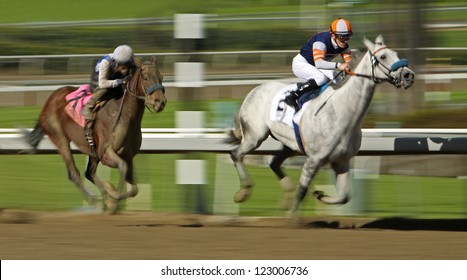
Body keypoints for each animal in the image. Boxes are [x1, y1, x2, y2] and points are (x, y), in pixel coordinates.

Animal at [23, 57, 167, 214]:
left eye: (161, 77)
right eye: (146, 77)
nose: (160, 102)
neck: (124, 117)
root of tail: (51, 98)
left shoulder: (128, 156)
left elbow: (134, 188)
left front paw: (110, 194)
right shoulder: (106, 154)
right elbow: (122, 168)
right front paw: (112, 200)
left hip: (92, 151)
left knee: (89, 173)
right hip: (60, 138)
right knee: (74, 173)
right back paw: (96, 201)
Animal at [225, 35, 414, 214]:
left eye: (396, 53)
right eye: (383, 56)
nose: (409, 75)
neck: (341, 112)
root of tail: (254, 90)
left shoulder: (341, 160)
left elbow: (345, 196)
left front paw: (319, 194)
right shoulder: (314, 160)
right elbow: (302, 191)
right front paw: (293, 216)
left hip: (291, 145)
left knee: (273, 162)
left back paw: (285, 197)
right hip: (255, 136)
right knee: (236, 154)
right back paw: (243, 193)